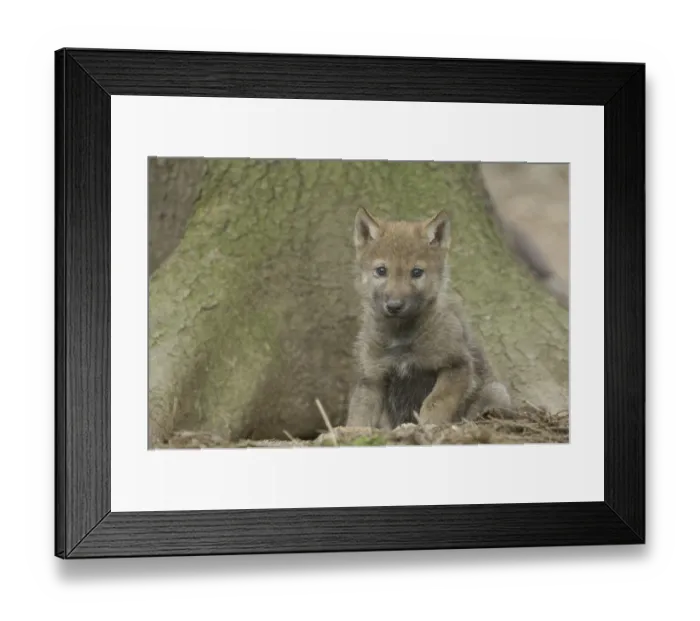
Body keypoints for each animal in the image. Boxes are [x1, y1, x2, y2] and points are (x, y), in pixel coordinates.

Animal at [345, 206, 512, 430]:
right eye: (381, 270)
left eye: (416, 272)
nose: (394, 306)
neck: (401, 336)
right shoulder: (373, 378)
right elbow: (358, 416)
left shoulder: (457, 365)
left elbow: (436, 401)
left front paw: (428, 426)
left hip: (494, 391)